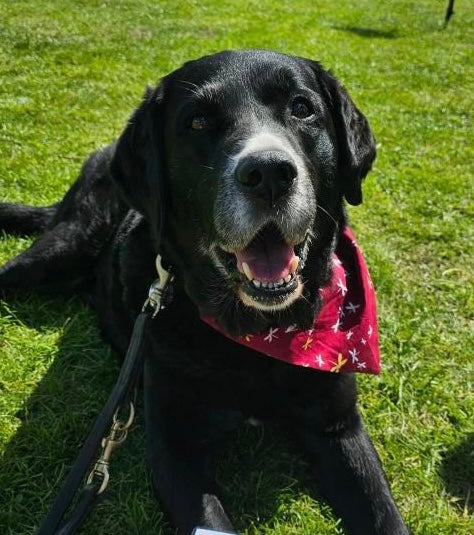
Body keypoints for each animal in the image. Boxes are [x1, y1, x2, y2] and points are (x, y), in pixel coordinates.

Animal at [0, 50, 410, 535]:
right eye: (197, 122)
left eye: (301, 108)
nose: (269, 173)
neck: (259, 335)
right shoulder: (175, 451)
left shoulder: (339, 426)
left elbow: (384, 516)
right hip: (60, 249)